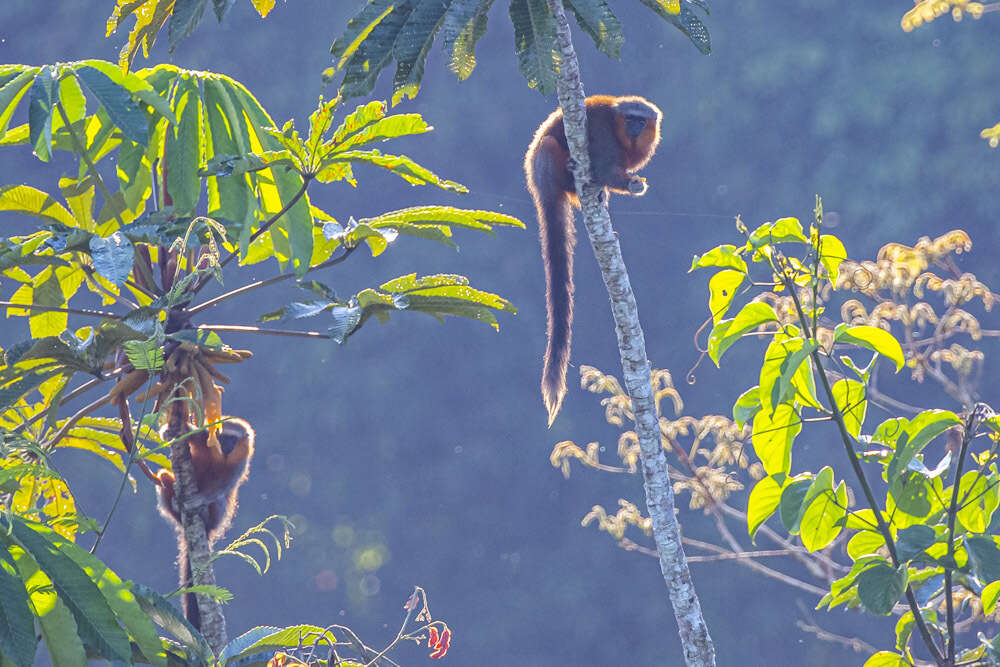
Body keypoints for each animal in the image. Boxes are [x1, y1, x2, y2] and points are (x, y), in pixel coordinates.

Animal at [155, 418, 254, 632]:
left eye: (233, 440)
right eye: (222, 437)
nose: (226, 446)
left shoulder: (241, 461)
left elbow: (225, 485)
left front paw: (200, 500)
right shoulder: (205, 437)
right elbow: (191, 434)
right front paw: (171, 431)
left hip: (218, 518)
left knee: (219, 501)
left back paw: (204, 513)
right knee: (163, 476)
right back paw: (175, 504)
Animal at [524, 94, 664, 426]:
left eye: (642, 120)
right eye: (630, 118)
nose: (636, 127)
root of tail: (538, 185)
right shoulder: (600, 133)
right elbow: (603, 169)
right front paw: (629, 184)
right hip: (544, 165)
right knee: (549, 145)